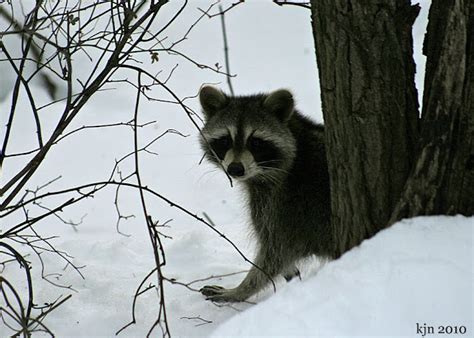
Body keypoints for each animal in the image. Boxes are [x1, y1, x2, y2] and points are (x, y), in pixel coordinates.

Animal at [198, 86, 332, 302]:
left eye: (256, 143)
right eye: (225, 140)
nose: (235, 169)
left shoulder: (283, 206)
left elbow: (275, 253)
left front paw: (240, 290)